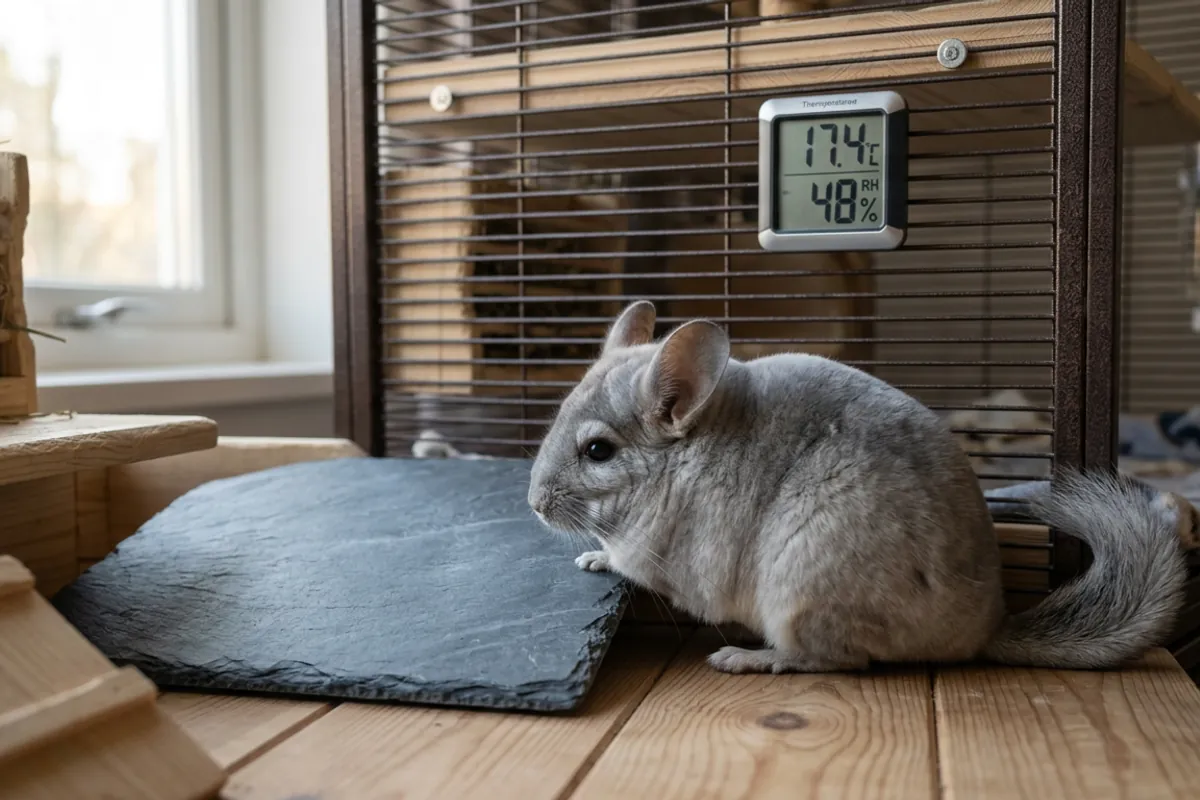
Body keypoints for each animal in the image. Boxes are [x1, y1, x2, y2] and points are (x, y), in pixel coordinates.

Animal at [528, 301, 1194, 673]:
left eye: (597, 450)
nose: (532, 504)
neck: (680, 461)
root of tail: (984, 630)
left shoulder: (668, 558)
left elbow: (628, 562)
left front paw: (594, 557)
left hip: (801, 586)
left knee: (832, 662)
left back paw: (744, 658)